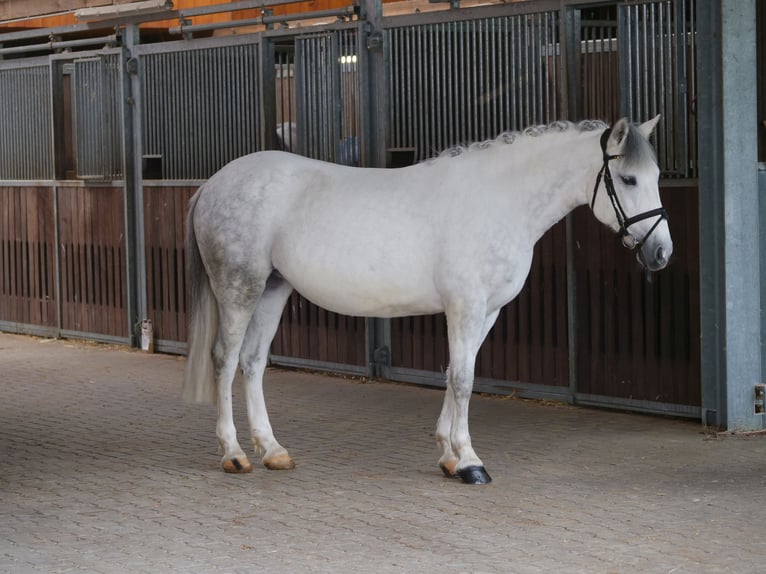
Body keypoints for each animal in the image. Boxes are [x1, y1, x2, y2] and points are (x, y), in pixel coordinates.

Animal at [183, 117, 671, 484]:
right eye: (628, 179)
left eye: (656, 177)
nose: (661, 252)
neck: (498, 201)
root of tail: (213, 184)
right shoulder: (465, 307)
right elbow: (464, 380)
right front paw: (470, 462)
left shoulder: (486, 312)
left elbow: (455, 373)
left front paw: (449, 457)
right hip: (240, 287)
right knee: (225, 359)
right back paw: (233, 454)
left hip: (273, 287)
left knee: (253, 362)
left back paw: (272, 450)